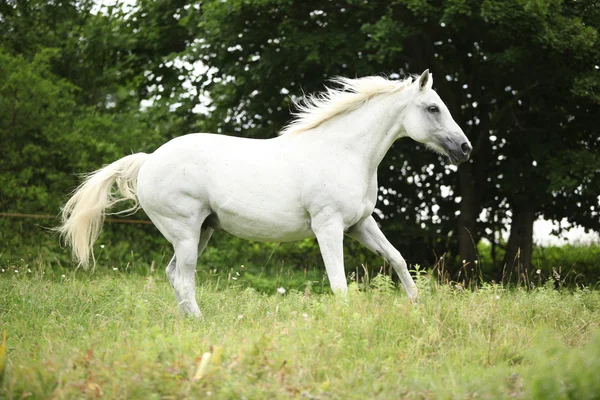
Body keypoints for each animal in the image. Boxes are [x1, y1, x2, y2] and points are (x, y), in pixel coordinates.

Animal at [61, 71, 474, 316]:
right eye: (433, 108)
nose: (465, 149)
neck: (344, 151)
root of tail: (148, 161)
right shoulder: (328, 226)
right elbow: (339, 283)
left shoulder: (361, 224)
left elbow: (398, 260)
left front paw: (417, 305)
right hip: (186, 231)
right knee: (184, 276)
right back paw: (199, 321)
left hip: (202, 231)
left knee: (173, 273)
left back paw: (187, 320)